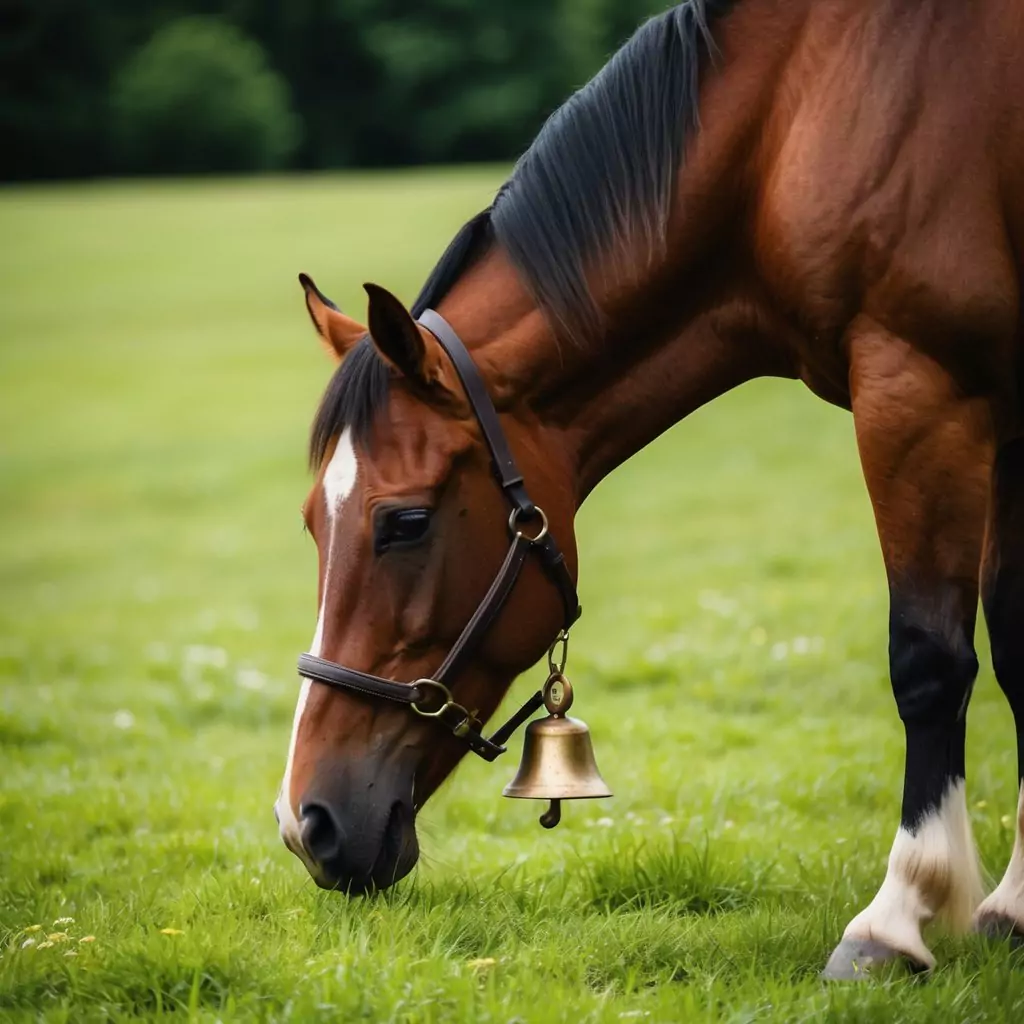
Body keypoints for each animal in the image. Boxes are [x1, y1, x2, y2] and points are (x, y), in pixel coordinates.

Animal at [274, 0, 1024, 974]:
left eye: (402, 522)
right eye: (310, 525)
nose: (306, 824)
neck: (792, 122)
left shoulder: (922, 391)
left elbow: (929, 659)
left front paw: (896, 917)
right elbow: (1020, 647)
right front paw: (1014, 906)